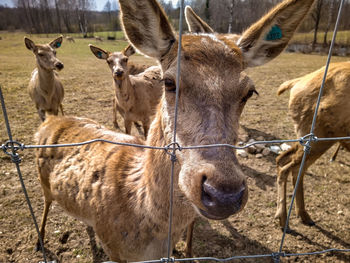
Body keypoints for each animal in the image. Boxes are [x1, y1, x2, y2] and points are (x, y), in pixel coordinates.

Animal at [34, 0, 316, 262]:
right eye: (168, 82)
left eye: (249, 92)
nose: (223, 194)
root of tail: (50, 121)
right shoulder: (114, 250)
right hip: (43, 181)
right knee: (46, 204)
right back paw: (40, 241)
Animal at [276, 60, 350, 230]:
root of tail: (296, 83)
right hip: (319, 136)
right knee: (286, 164)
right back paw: (283, 219)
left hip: (312, 138)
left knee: (290, 163)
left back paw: (304, 215)